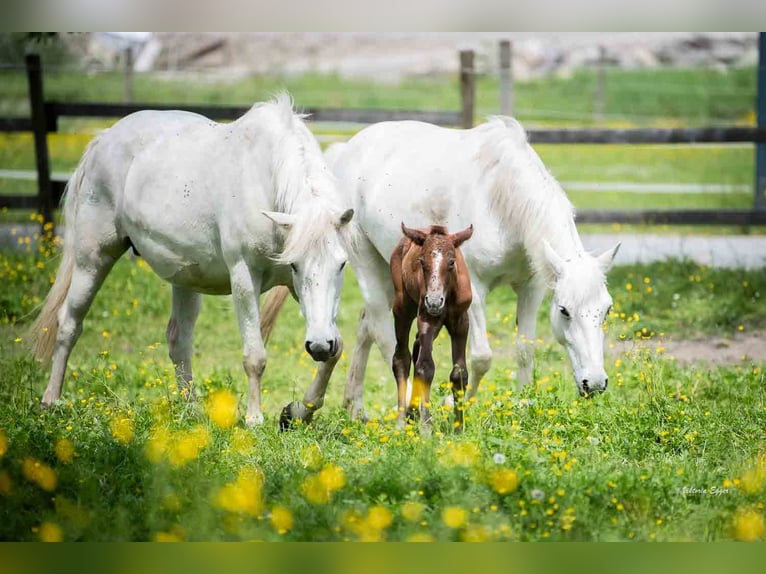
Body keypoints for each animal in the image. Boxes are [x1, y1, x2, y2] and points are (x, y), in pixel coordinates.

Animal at [30, 94, 355, 427]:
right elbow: (255, 355)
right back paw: (50, 400)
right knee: (68, 324)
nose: (318, 345)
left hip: (184, 277)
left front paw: (296, 412)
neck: (267, 180)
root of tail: (103, 139)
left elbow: (337, 350)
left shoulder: (298, 292)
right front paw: (254, 418)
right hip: (92, 260)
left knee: (178, 340)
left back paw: (192, 412)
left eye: (342, 264)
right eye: (295, 265)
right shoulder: (244, 277)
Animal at [391, 223, 473, 430]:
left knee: (416, 346)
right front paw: (427, 426)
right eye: (421, 262)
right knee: (401, 357)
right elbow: (425, 368)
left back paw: (412, 412)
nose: (435, 302)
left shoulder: (461, 321)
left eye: (451, 262)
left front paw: (459, 427)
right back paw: (402, 420)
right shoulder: (427, 318)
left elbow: (459, 373)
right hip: (403, 307)